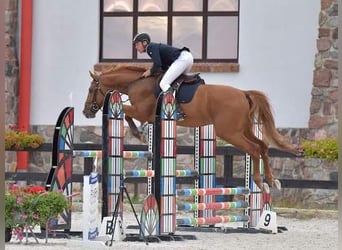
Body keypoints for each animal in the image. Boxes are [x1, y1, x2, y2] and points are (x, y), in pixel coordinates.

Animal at [82, 64, 300, 191]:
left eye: (92, 89)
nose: (86, 112)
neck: (137, 82)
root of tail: (243, 93)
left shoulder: (142, 111)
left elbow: (127, 114)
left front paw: (138, 134)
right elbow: (128, 115)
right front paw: (141, 133)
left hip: (230, 133)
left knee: (254, 149)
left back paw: (260, 183)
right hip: (242, 130)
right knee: (263, 146)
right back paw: (271, 181)